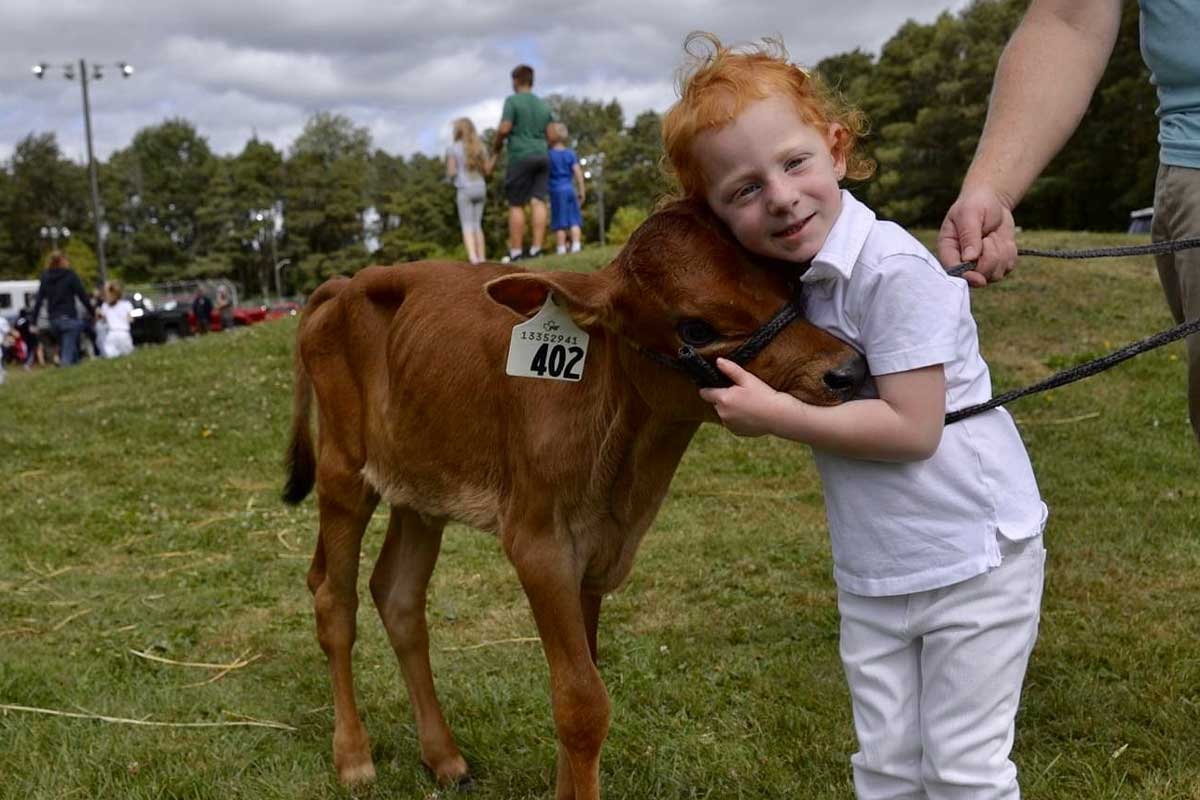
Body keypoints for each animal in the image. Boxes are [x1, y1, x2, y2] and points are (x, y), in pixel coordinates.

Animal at [280, 199, 864, 796]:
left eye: (788, 285)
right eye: (696, 328)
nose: (848, 370)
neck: (627, 476)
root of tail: (346, 283)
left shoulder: (595, 554)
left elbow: (582, 681)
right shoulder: (539, 545)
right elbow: (582, 704)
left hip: (420, 488)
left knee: (397, 595)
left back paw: (443, 756)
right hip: (343, 469)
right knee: (334, 600)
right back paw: (354, 756)